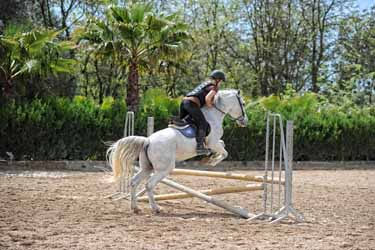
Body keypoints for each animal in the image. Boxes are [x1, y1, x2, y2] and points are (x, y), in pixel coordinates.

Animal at [108, 89, 250, 213]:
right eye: (243, 103)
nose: (245, 121)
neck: (213, 115)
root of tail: (147, 141)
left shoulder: (214, 143)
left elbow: (222, 145)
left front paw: (209, 157)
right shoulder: (212, 142)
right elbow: (225, 152)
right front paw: (211, 162)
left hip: (147, 167)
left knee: (134, 182)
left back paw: (135, 207)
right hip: (164, 168)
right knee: (149, 184)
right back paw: (155, 208)